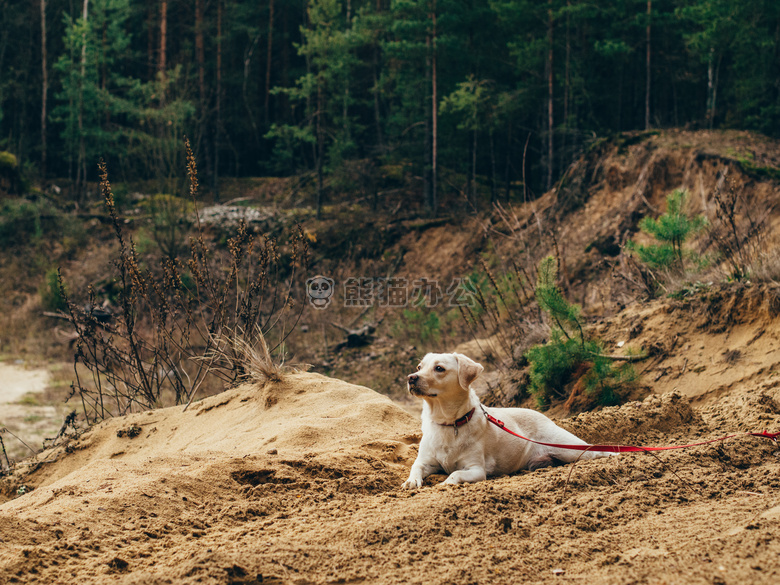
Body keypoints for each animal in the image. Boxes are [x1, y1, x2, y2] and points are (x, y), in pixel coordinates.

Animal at [402, 352, 608, 488]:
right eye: (419, 367)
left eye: (439, 368)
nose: (411, 378)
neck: (449, 422)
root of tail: (542, 415)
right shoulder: (425, 461)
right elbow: (415, 467)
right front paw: (411, 481)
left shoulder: (476, 469)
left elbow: (455, 473)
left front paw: (446, 483)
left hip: (567, 448)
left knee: (594, 451)